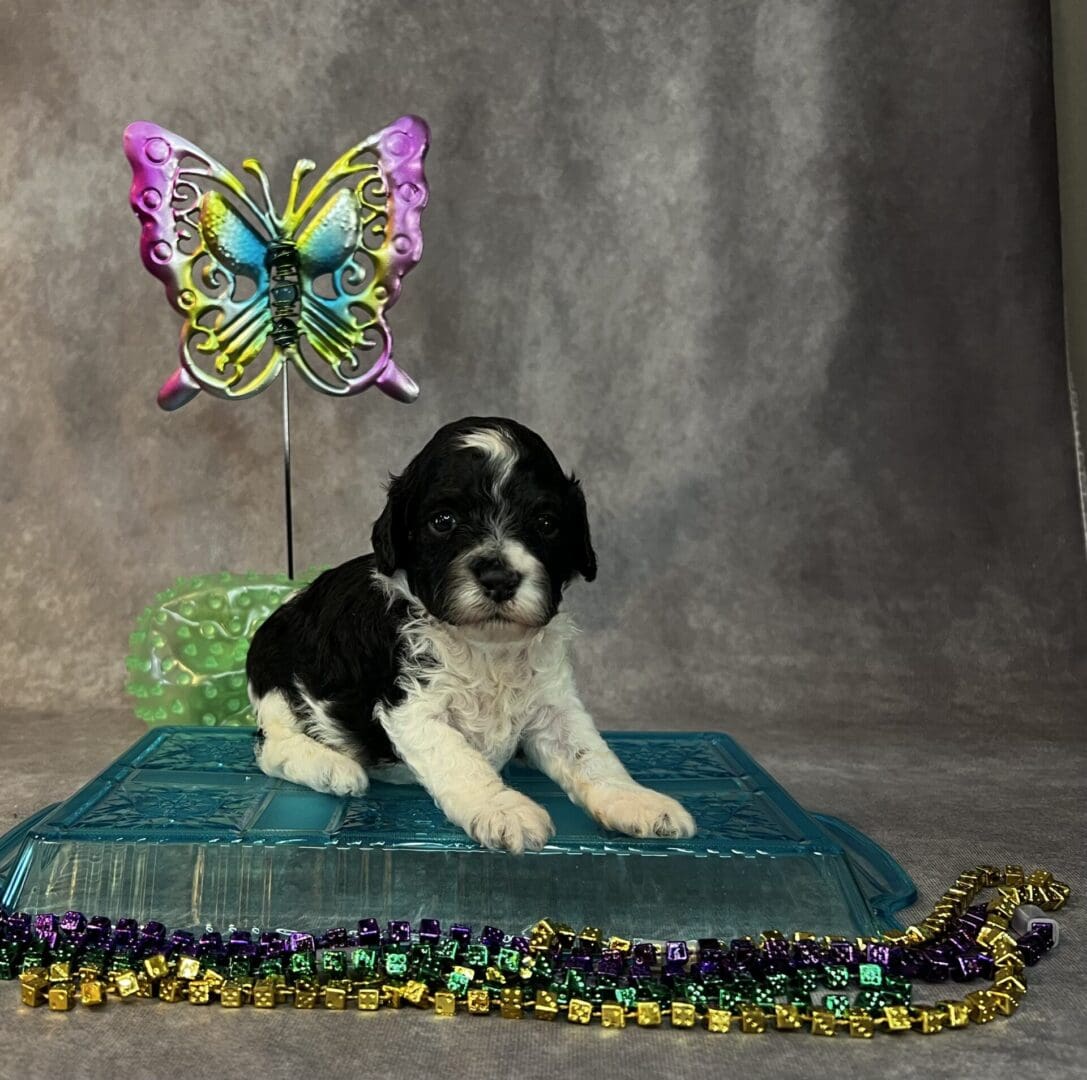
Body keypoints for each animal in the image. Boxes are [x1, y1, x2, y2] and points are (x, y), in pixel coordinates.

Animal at [246, 415, 695, 851]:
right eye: (443, 521)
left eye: (546, 523)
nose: (499, 578)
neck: (487, 648)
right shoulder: (411, 706)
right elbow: (459, 759)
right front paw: (503, 809)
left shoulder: (553, 703)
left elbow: (589, 753)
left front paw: (634, 799)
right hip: (276, 680)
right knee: (271, 747)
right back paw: (333, 767)